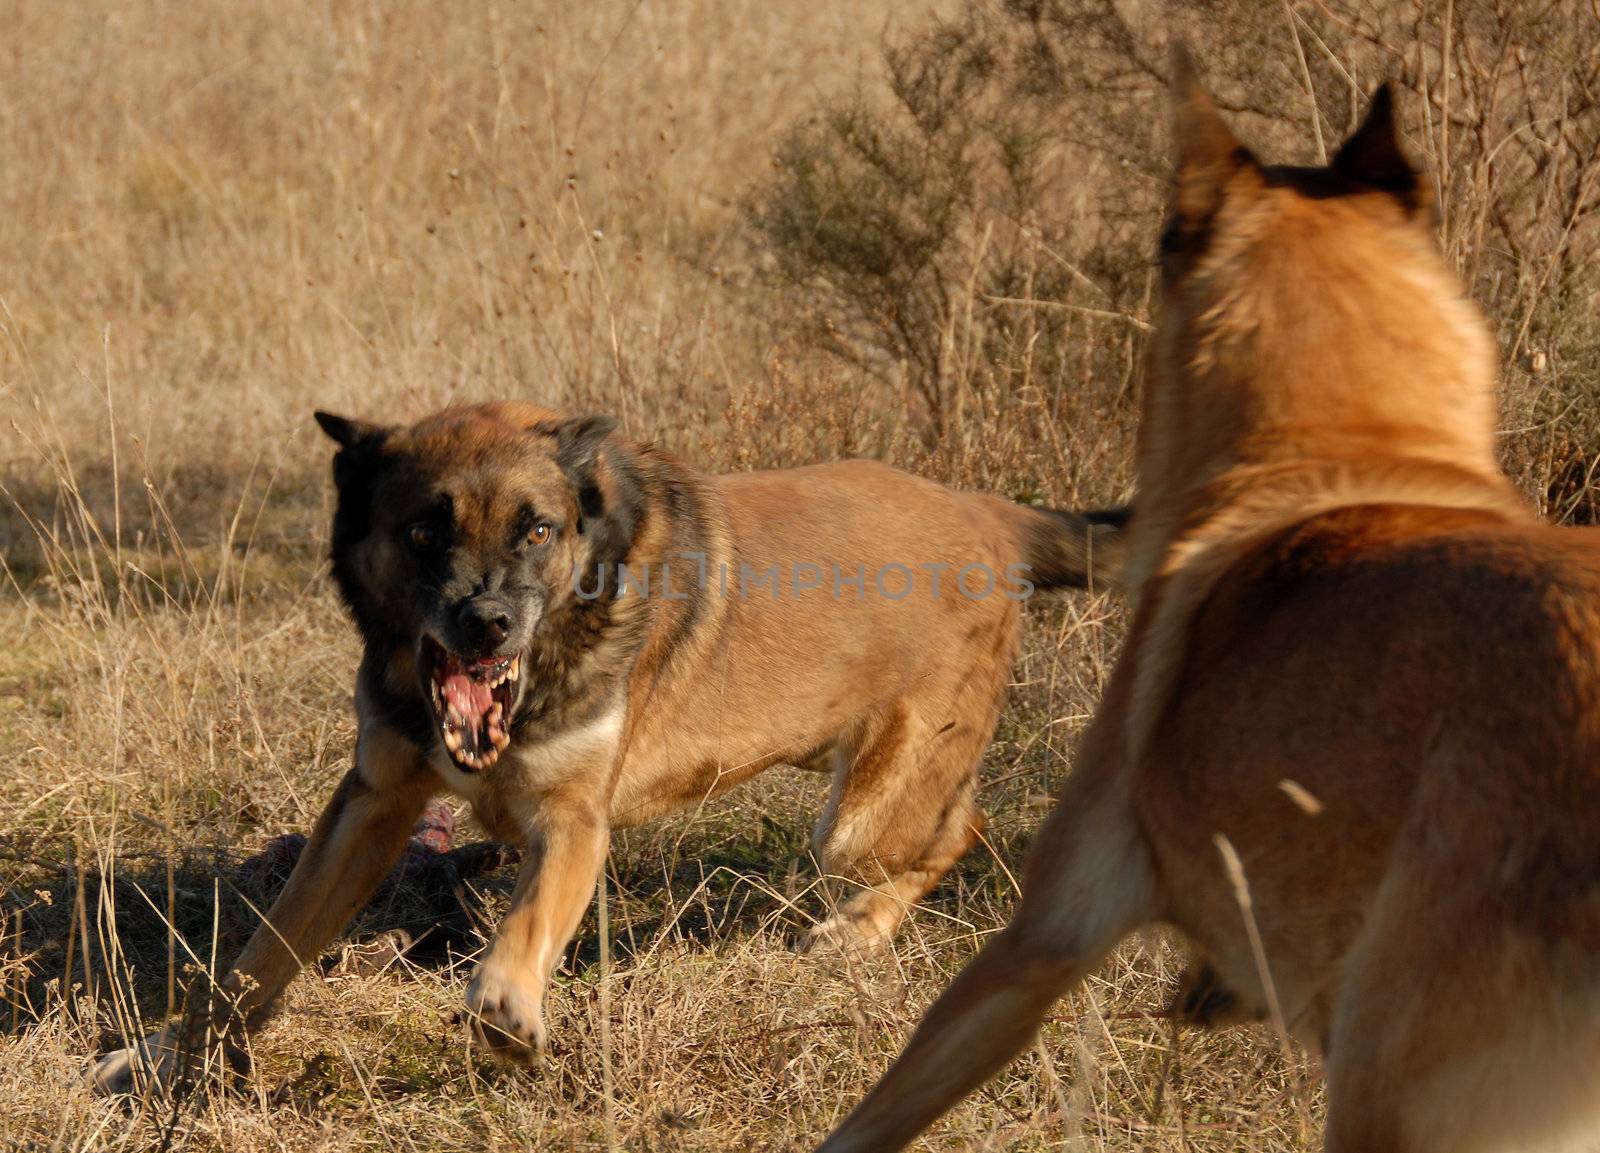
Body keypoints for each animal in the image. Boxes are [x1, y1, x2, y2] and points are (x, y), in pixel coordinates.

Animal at [96, 399, 1126, 1093]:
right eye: (424, 529)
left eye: (537, 529)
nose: (487, 625)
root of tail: (991, 511)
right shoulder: (371, 803)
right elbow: (259, 956)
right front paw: (163, 1058)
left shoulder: (572, 819)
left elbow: (522, 928)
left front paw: (506, 1012)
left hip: (861, 820)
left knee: (962, 828)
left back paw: (856, 932)